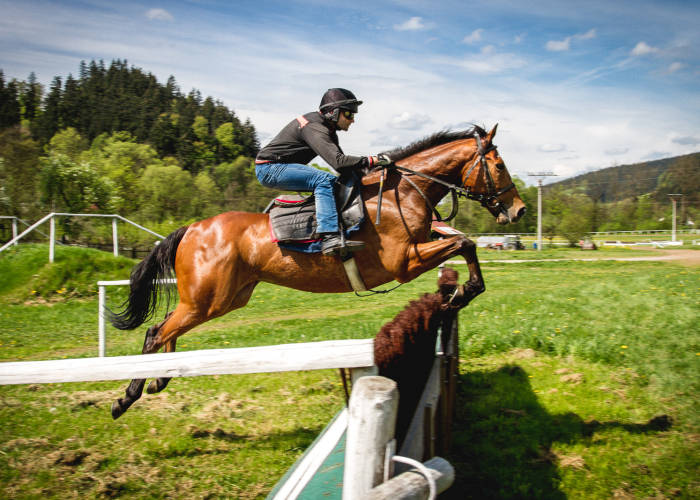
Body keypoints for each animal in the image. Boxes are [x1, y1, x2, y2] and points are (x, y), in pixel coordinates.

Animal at [109, 124, 524, 418]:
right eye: (499, 165)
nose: (518, 210)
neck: (404, 192)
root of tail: (191, 229)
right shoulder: (405, 262)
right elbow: (464, 242)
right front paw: (462, 292)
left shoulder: (423, 244)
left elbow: (465, 242)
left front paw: (462, 291)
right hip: (206, 299)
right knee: (155, 331)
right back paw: (127, 396)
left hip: (221, 299)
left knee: (166, 328)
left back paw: (161, 376)